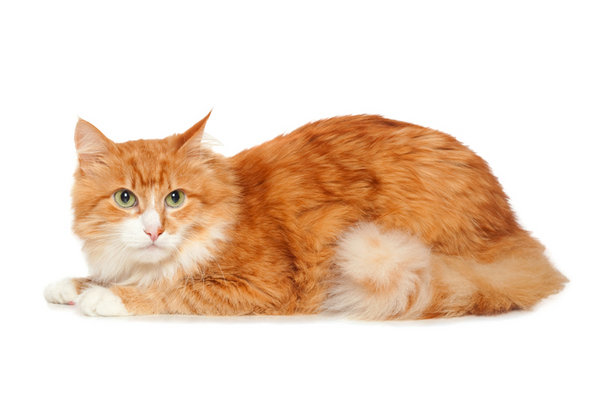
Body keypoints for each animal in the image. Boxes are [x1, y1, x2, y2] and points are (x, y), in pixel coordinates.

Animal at [43, 112, 568, 318]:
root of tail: (512, 228)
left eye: (175, 198)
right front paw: (73, 285)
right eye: (125, 199)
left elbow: (173, 290)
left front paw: (107, 297)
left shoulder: (264, 286)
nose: (154, 230)